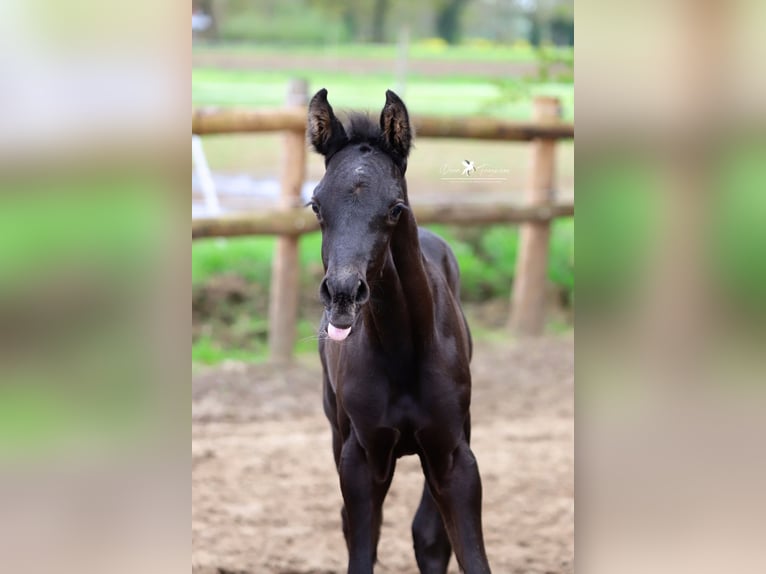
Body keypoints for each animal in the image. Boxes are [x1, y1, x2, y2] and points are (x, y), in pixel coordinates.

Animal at [308, 88, 492, 572]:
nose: (343, 293)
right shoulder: (361, 457)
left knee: (428, 533)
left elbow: (457, 547)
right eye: (316, 204)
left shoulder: (453, 455)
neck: (402, 351)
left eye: (395, 208)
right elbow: (361, 547)